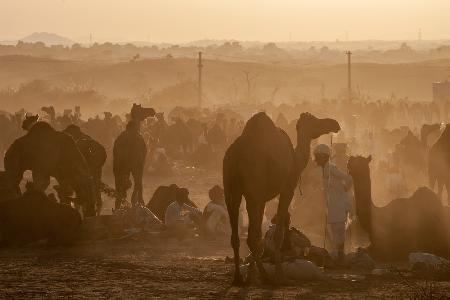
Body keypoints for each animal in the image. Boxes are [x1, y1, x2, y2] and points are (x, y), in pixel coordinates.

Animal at [223, 112, 340, 284]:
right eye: (314, 120)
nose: (334, 123)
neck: (296, 160)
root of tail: (237, 153)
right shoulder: (286, 190)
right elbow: (277, 234)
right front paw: (279, 276)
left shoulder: (263, 199)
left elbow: (259, 235)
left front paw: (251, 275)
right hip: (254, 188)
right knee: (250, 237)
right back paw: (265, 276)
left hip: (231, 189)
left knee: (237, 234)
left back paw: (239, 277)